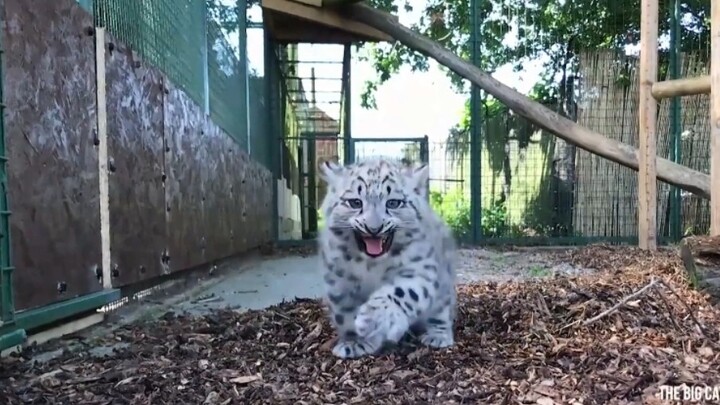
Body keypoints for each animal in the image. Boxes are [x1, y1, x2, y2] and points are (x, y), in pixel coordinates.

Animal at [317, 157, 458, 359]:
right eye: (355, 202)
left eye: (393, 203)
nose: (374, 228)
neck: (371, 265)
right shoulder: (338, 280)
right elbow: (345, 313)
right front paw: (356, 341)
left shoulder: (420, 269)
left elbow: (402, 291)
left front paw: (373, 317)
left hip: (443, 288)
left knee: (442, 309)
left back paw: (437, 335)